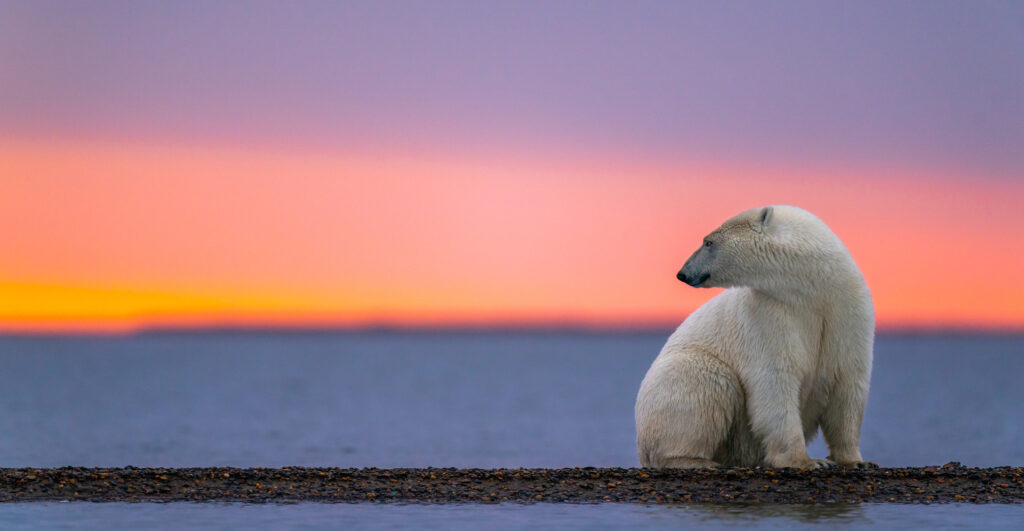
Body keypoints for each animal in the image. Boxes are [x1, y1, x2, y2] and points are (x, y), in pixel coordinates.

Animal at [634, 205, 876, 468]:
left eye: (708, 242)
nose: (683, 273)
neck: (813, 290)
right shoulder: (768, 314)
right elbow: (775, 381)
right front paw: (806, 461)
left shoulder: (847, 312)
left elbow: (848, 384)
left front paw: (855, 461)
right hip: (681, 375)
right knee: (707, 383)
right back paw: (693, 460)